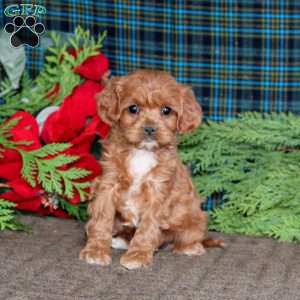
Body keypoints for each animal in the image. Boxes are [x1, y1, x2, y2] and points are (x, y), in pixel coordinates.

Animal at [79, 69, 223, 270]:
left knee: (190, 235)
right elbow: (101, 219)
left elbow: (147, 226)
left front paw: (138, 255)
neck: (142, 151)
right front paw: (96, 251)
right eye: (133, 109)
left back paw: (189, 247)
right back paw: (120, 241)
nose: (149, 128)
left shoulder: (158, 191)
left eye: (166, 111)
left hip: (196, 217)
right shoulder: (108, 184)